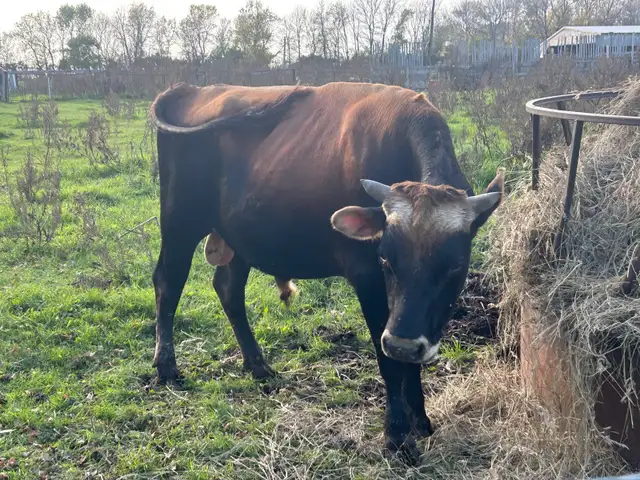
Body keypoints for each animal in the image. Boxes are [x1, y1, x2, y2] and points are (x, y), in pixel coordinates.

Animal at [149, 81, 504, 464]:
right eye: (384, 258)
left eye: (456, 266)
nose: (403, 344)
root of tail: (193, 88)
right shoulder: (368, 279)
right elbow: (388, 361)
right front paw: (397, 436)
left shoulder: (409, 320)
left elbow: (407, 359)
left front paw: (420, 419)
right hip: (179, 221)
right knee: (168, 282)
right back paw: (166, 366)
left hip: (238, 236)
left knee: (228, 289)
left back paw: (258, 365)